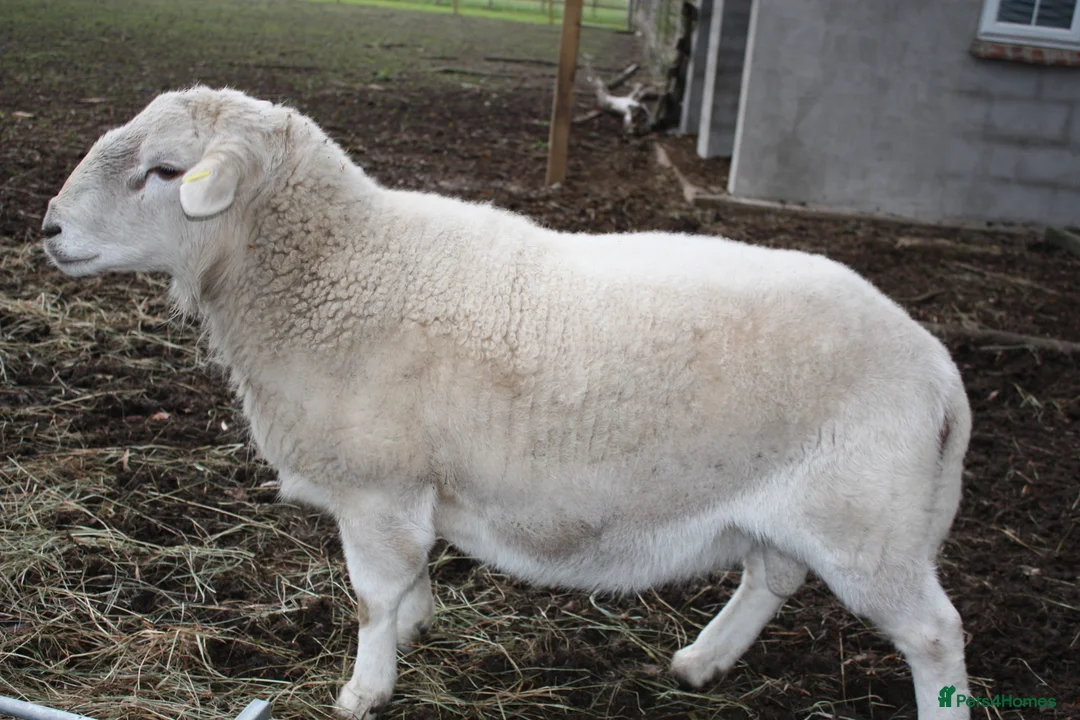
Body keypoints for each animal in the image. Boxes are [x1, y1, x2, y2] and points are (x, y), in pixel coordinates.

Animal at [42, 86, 972, 720]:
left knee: (935, 633)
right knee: (771, 574)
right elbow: (409, 582)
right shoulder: (405, 491)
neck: (337, 270)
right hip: (802, 507)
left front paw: (363, 689)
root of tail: (939, 371)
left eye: (165, 172)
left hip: (869, 524)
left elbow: (372, 595)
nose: (47, 229)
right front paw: (414, 630)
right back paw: (701, 662)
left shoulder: (378, 486)